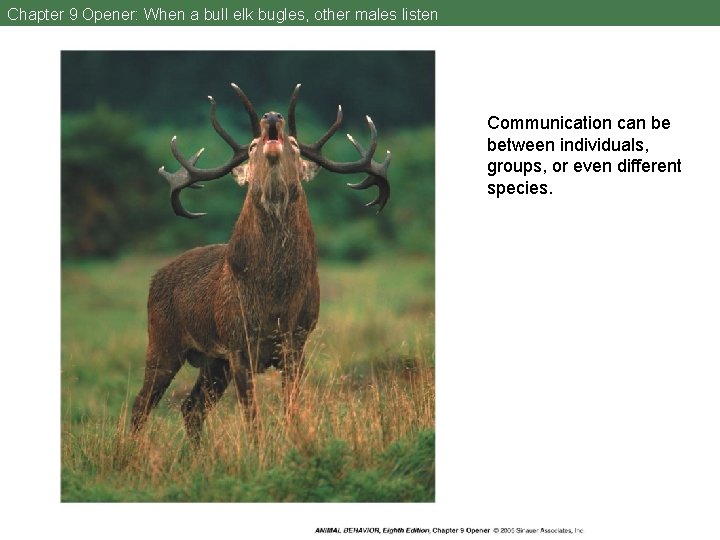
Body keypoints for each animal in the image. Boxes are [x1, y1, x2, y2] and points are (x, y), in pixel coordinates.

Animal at [130, 83, 390, 442]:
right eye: (252, 145)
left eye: (295, 143)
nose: (271, 115)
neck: (274, 297)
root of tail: (155, 277)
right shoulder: (238, 343)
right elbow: (252, 417)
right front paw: (257, 449)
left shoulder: (297, 341)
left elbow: (291, 409)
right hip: (163, 340)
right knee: (141, 405)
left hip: (212, 362)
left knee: (191, 407)